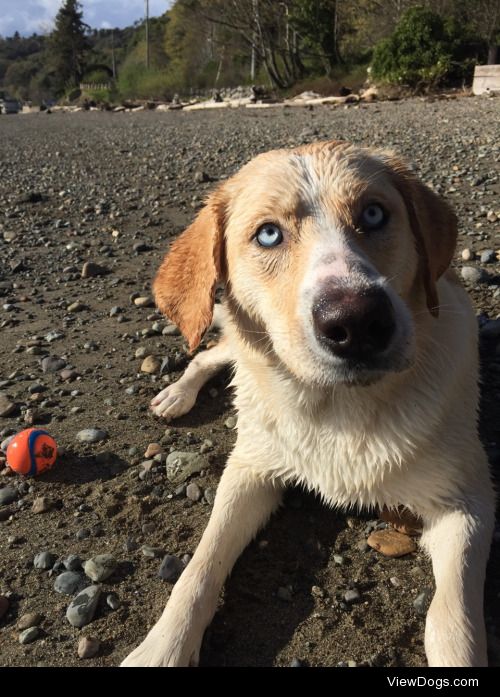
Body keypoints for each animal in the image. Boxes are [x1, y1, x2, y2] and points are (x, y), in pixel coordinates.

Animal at [122, 139, 496, 668]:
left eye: (374, 213)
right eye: (268, 234)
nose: (357, 323)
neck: (337, 411)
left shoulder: (467, 503)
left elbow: (451, 620)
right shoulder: (249, 471)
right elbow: (200, 566)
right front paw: (161, 646)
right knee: (212, 352)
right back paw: (177, 393)